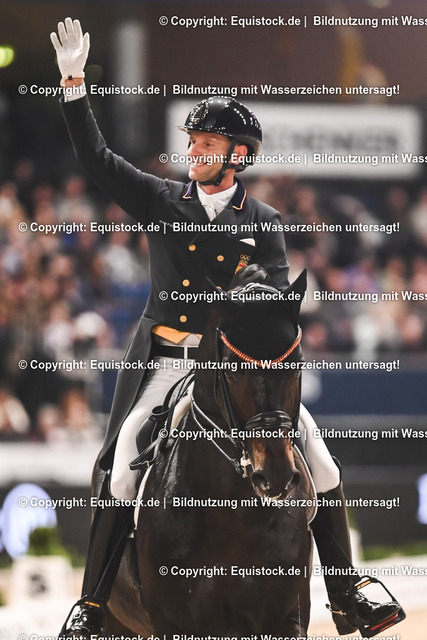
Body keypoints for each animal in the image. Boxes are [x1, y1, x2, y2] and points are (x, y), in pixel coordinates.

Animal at [103, 266, 314, 638]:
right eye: (231, 371)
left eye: (297, 365)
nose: (274, 476)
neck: (231, 510)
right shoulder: (173, 624)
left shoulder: (286, 620)